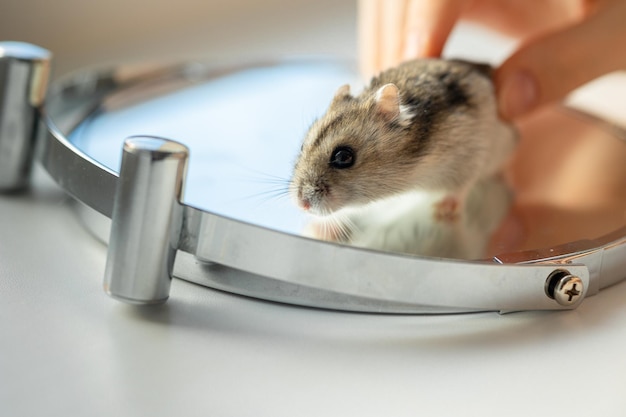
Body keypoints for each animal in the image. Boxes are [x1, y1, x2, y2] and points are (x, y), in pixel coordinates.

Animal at [290, 60, 516, 221]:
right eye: (301, 146)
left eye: (343, 156)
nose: (302, 204)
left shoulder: (470, 156)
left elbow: (461, 187)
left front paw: (442, 212)